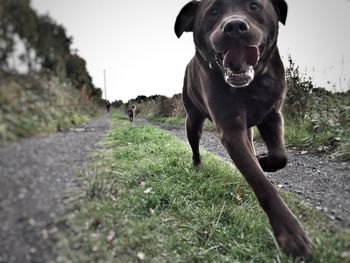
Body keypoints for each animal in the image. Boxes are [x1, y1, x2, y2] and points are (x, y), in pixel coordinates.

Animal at [175, 0, 312, 260]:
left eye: (254, 6)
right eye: (214, 12)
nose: (235, 27)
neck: (252, 84)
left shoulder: (272, 115)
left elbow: (280, 156)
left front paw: (264, 161)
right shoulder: (231, 128)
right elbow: (261, 183)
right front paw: (291, 234)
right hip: (193, 121)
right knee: (195, 144)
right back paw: (197, 165)